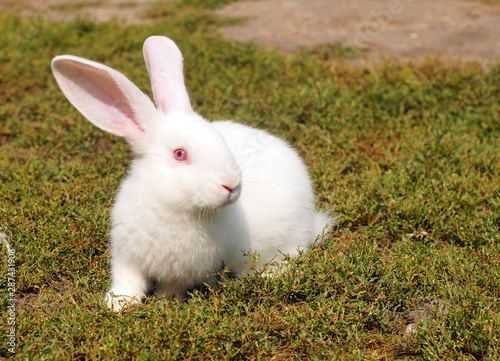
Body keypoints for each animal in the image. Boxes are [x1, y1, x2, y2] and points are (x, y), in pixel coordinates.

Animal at [51, 35, 332, 310]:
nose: (232, 185)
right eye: (179, 154)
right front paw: (117, 303)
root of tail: (312, 222)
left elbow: (171, 287)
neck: (170, 208)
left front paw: (163, 302)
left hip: (289, 240)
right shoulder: (126, 256)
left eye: (220, 140)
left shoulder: (185, 273)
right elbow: (127, 280)